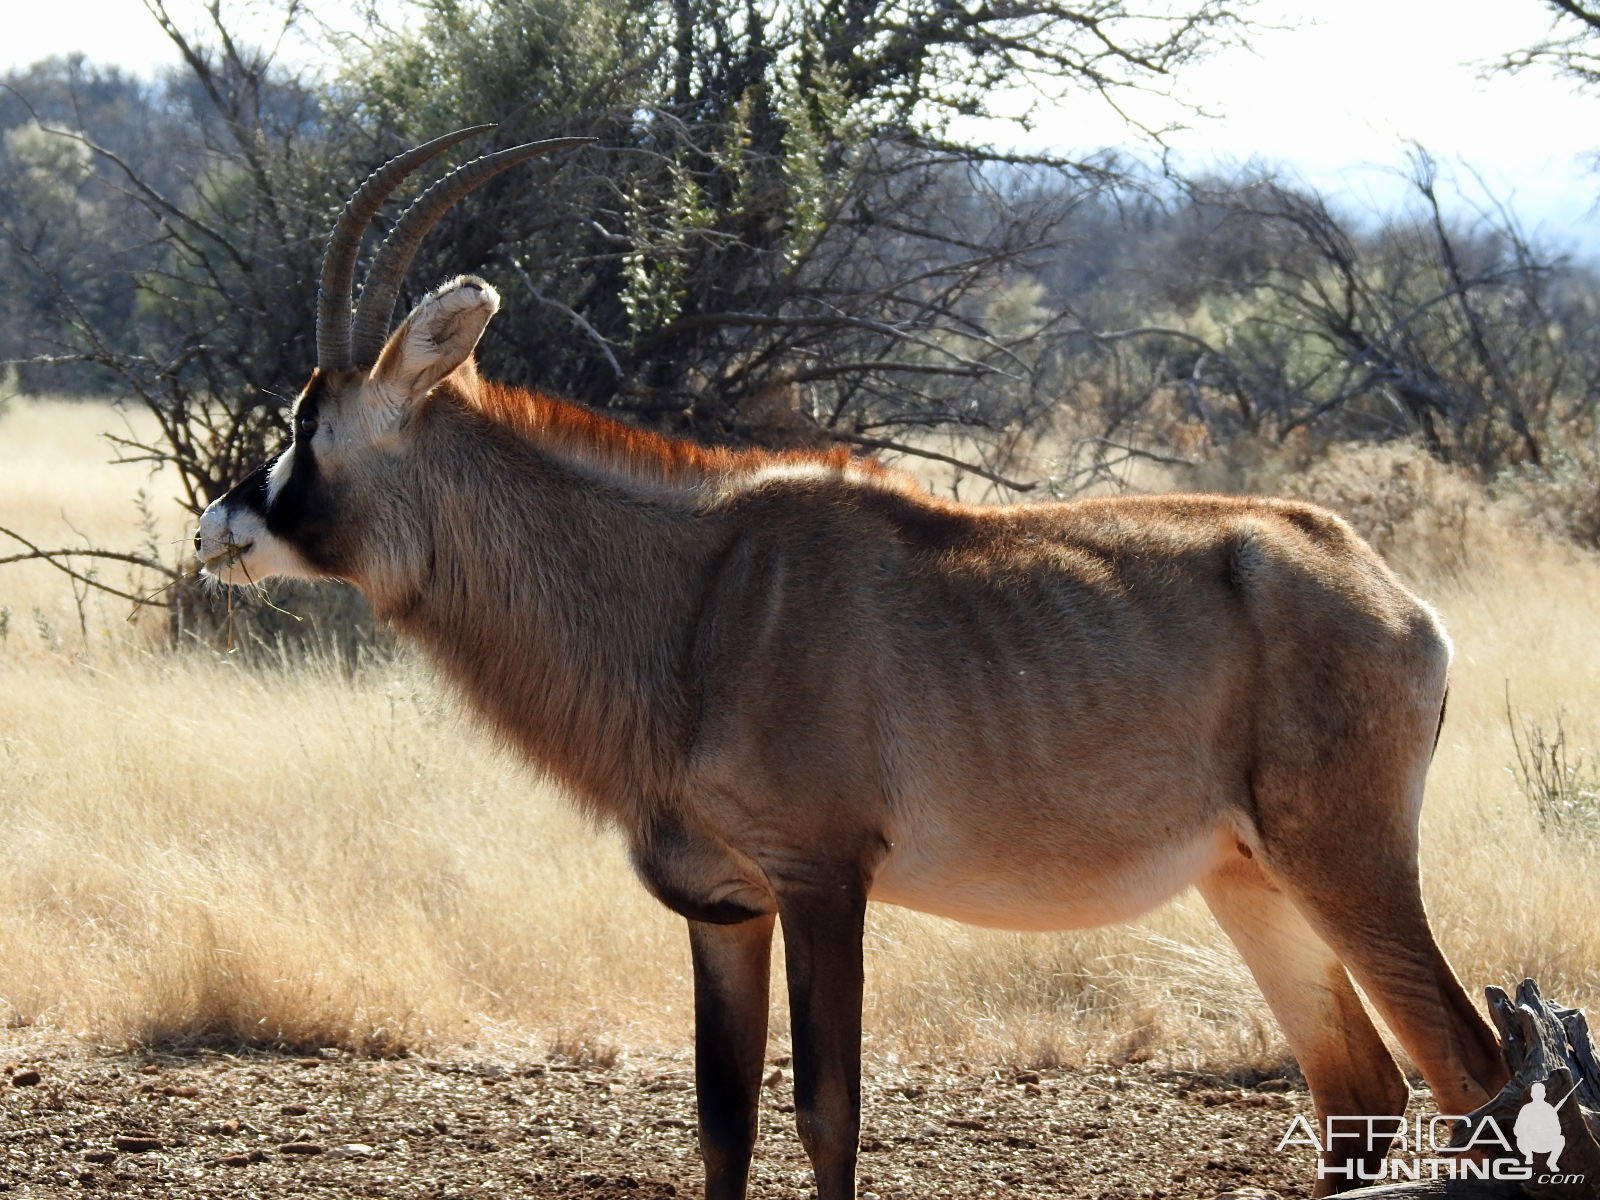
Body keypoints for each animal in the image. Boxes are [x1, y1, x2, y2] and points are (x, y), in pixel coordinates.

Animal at [193, 127, 1504, 1196]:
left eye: (307, 420)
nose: (218, 528)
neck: (690, 596)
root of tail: (1394, 596)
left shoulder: (825, 879)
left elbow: (830, 1113)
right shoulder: (724, 905)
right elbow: (722, 1119)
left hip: (1346, 861)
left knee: (1469, 1063)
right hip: (1250, 882)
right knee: (1357, 1093)